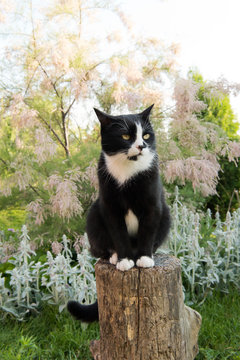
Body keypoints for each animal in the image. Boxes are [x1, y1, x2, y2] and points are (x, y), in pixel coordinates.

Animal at [67, 105, 171, 322]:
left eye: (146, 135)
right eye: (125, 136)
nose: (141, 146)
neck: (127, 170)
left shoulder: (152, 204)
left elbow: (148, 231)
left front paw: (144, 258)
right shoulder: (110, 206)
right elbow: (118, 233)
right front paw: (124, 261)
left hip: (166, 213)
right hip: (94, 214)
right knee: (101, 248)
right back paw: (115, 256)